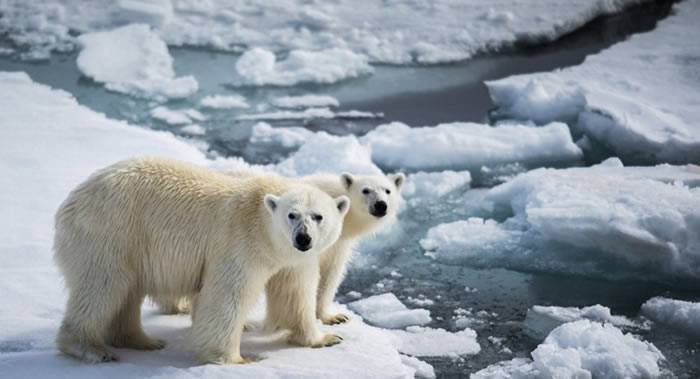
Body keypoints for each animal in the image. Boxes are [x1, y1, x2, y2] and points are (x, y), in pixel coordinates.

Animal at [54, 158, 350, 366]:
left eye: (318, 216)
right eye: (292, 215)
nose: (303, 238)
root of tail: (71, 202)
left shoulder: (292, 260)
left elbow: (295, 294)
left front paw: (326, 338)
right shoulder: (240, 242)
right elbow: (227, 295)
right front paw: (235, 359)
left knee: (125, 293)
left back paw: (142, 341)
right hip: (111, 232)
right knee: (102, 287)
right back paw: (89, 348)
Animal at [153, 172, 404, 330]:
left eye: (388, 190)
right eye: (366, 190)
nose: (380, 205)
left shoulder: (337, 244)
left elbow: (330, 274)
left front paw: (332, 317)